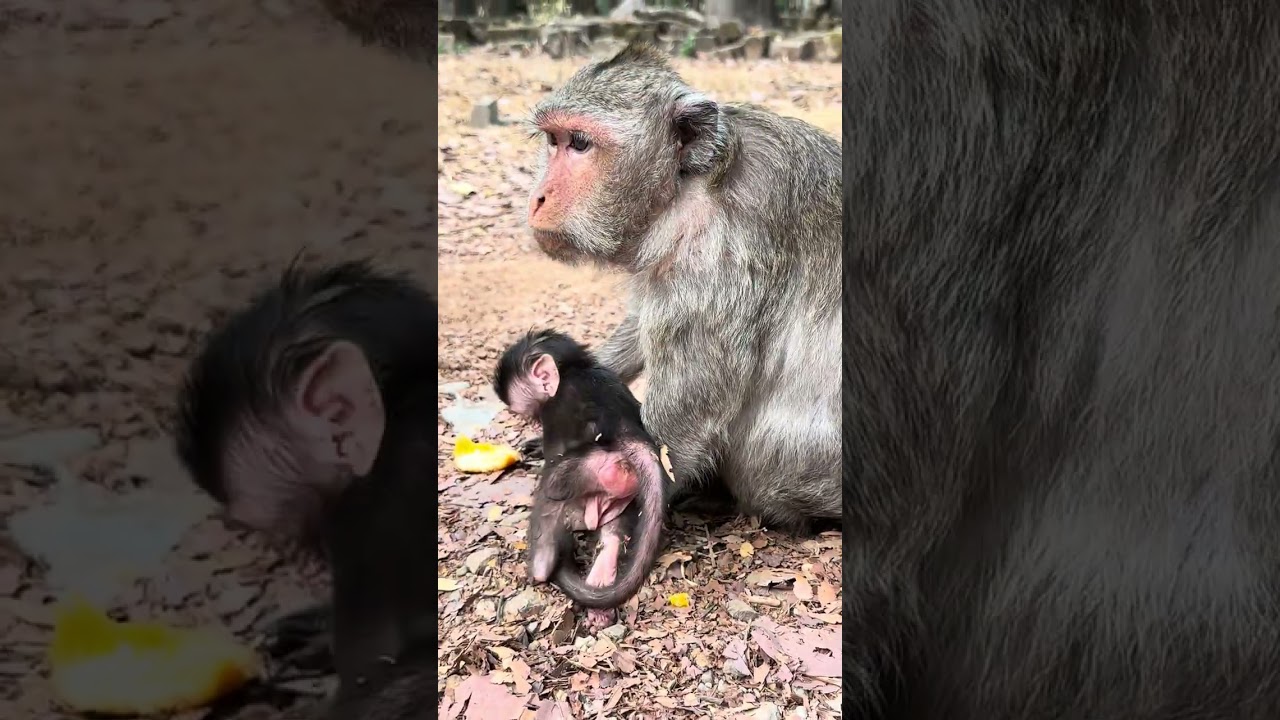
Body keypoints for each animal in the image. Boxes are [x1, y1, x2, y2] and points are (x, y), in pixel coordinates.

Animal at [493, 329, 671, 618]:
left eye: (532, 415)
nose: (530, 422)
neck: (573, 370)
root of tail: (636, 441)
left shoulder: (558, 406)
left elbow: (555, 455)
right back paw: (607, 556)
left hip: (601, 468)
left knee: (554, 484)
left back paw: (542, 565)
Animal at [522, 44, 842, 562]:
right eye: (553, 141)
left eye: (580, 144)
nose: (537, 198)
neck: (685, 183)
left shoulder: (719, 248)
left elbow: (690, 403)